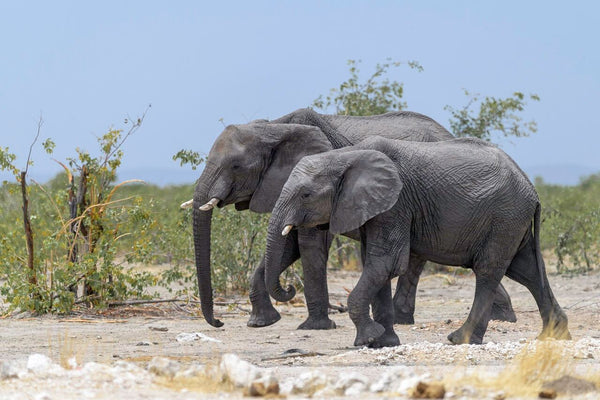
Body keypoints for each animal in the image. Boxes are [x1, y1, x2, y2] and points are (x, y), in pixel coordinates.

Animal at [189, 108, 516, 330]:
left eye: (235, 166)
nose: (218, 323)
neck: (273, 127)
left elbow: (309, 244)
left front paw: (315, 327)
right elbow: (288, 245)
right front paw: (262, 322)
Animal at [264, 135, 568, 346]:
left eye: (305, 195)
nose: (290, 288)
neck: (344, 156)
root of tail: (531, 187)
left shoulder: (396, 204)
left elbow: (385, 263)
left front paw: (367, 339)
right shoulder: (376, 209)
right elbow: (376, 266)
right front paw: (383, 342)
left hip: (505, 216)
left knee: (488, 271)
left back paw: (459, 339)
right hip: (511, 220)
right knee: (527, 270)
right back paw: (554, 336)